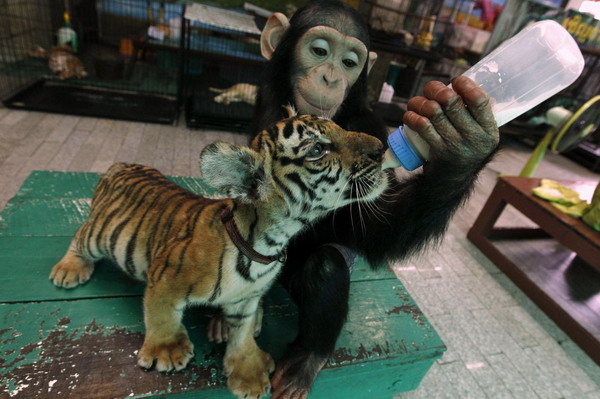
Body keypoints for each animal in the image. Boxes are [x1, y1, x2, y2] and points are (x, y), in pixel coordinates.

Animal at [209, 1, 500, 398]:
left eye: (349, 62)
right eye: (319, 51)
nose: (331, 77)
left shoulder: (372, 130)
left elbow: (375, 225)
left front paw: (462, 143)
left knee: (327, 266)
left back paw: (305, 361)